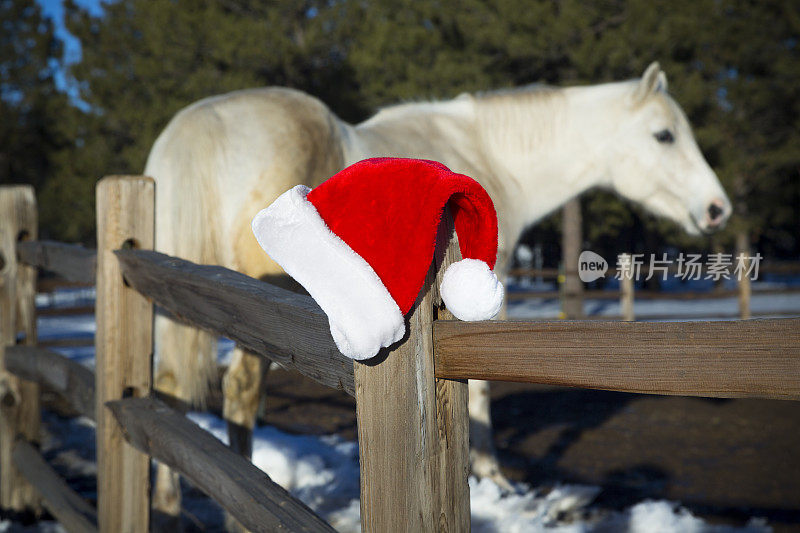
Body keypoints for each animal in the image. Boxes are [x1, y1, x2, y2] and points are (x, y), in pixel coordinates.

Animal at [144, 62, 732, 524]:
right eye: (664, 135)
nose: (717, 209)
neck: (492, 152)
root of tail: (196, 129)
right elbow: (483, 383)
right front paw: (492, 473)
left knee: (170, 386)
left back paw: (169, 506)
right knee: (240, 391)